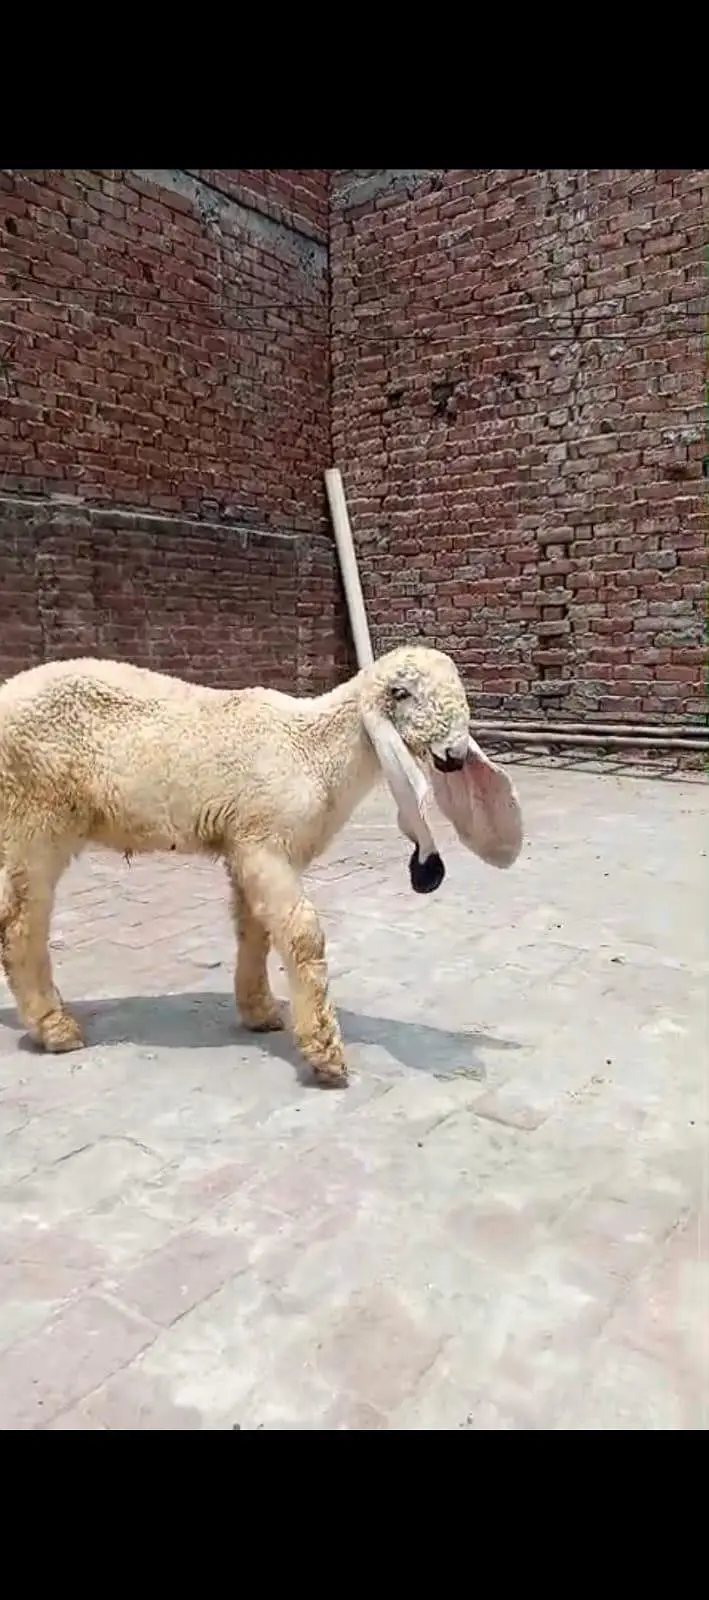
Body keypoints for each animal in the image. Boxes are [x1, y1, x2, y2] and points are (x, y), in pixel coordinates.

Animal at [0, 646, 523, 1086]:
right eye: (402, 693)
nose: (455, 757)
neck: (313, 749)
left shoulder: (246, 844)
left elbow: (255, 929)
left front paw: (260, 1011)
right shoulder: (264, 842)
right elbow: (302, 934)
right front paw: (324, 1054)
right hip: (33, 815)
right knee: (22, 923)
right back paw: (54, 1027)